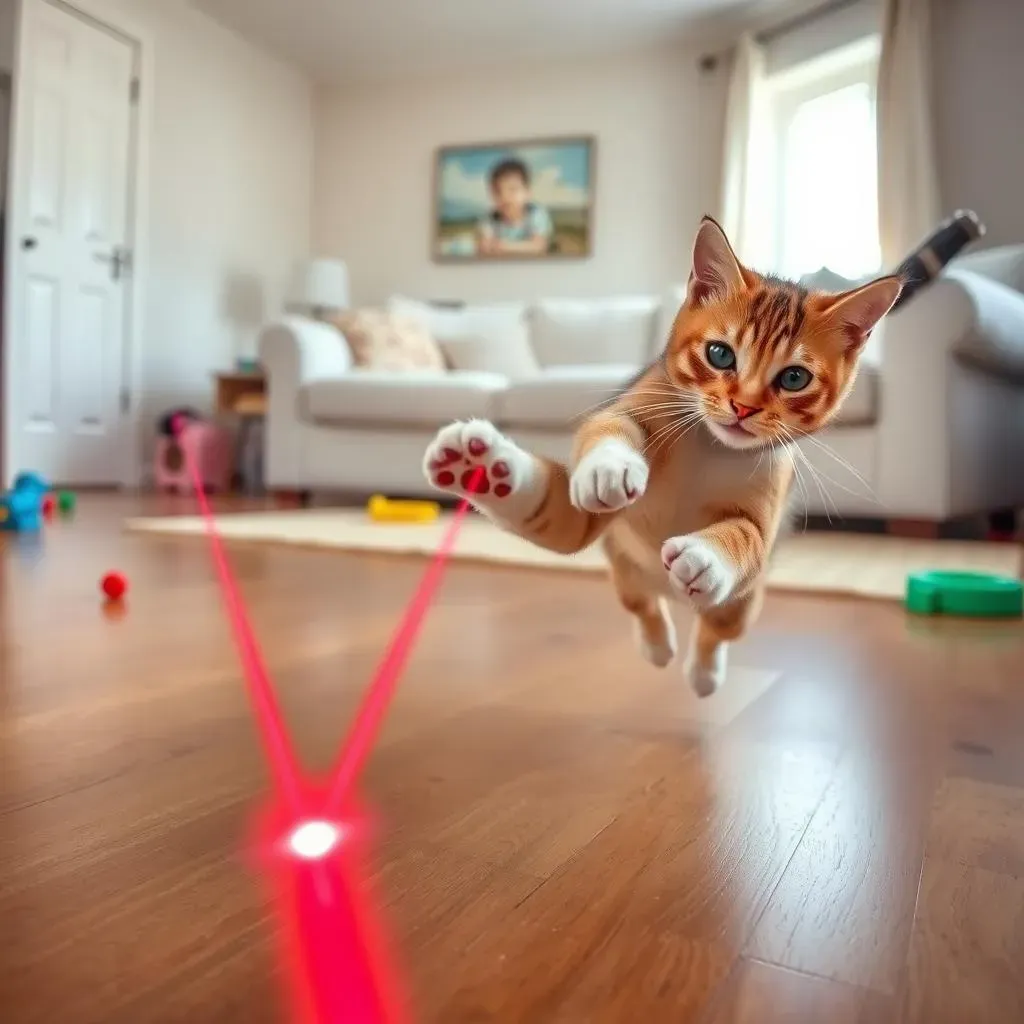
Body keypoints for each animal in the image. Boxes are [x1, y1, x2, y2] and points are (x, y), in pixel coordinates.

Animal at [419, 216, 901, 696]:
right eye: (720, 354)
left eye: (794, 378)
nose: (743, 407)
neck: (710, 446)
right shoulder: (631, 411)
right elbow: (600, 441)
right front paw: (603, 466)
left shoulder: (768, 509)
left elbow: (747, 535)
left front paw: (706, 558)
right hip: (622, 568)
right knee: (635, 597)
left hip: (742, 606)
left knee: (716, 629)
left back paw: (704, 672)